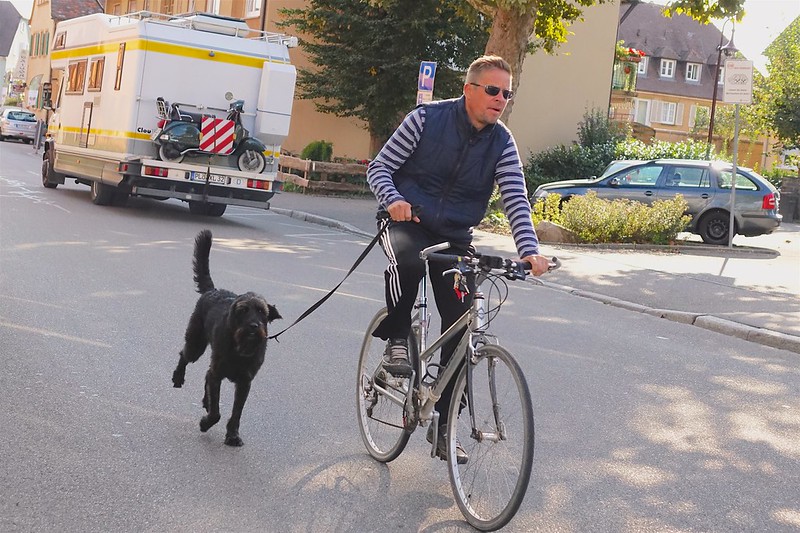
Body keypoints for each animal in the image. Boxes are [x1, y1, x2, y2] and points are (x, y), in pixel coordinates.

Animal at [170, 229, 280, 444]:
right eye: (243, 310)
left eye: (262, 312)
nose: (253, 326)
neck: (240, 349)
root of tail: (213, 291)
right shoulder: (218, 374)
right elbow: (216, 412)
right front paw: (206, 423)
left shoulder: (245, 382)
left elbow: (236, 412)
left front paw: (233, 436)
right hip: (196, 344)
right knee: (184, 356)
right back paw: (178, 377)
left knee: (205, 375)